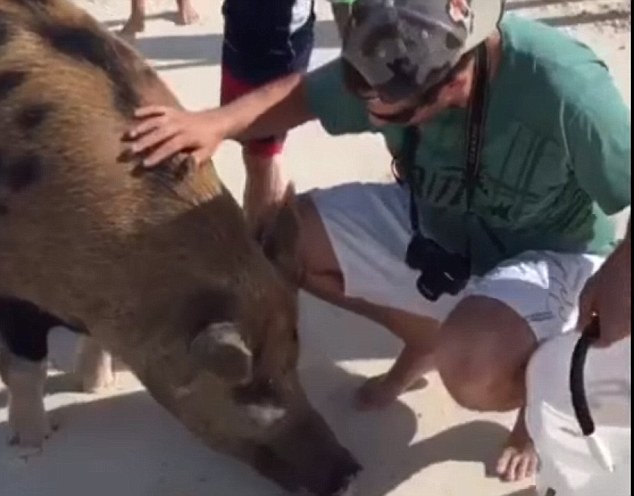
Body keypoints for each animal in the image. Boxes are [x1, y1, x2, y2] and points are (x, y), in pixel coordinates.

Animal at [0, 1, 358, 494]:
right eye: (247, 386)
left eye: (292, 360)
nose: (349, 471)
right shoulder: (16, 292)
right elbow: (26, 368)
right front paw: (32, 443)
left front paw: (94, 386)